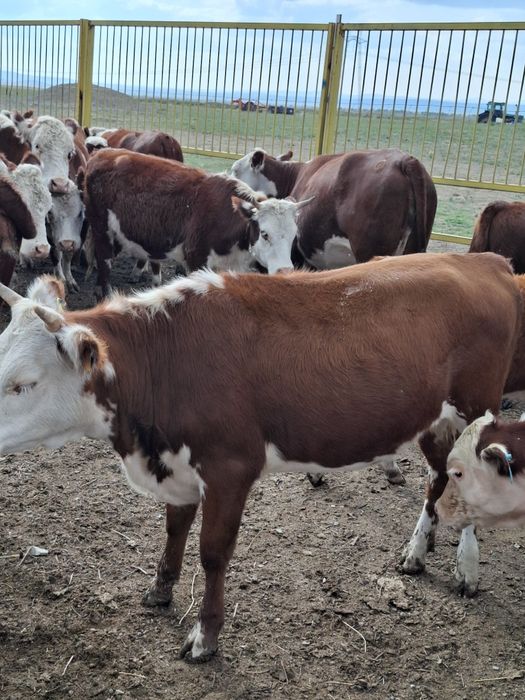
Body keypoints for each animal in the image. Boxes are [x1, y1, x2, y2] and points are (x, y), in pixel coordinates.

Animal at [0, 252, 521, 661]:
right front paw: (160, 590)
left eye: (25, 383)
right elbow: (174, 529)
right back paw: (417, 550)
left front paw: (204, 638)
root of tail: (483, 260)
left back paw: (467, 568)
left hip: (477, 406)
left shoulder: (230, 468)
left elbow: (213, 553)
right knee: (438, 475)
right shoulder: (178, 465)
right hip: (432, 417)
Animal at [83, 148, 311, 296]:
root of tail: (102, 154)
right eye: (264, 233)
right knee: (104, 260)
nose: (285, 272)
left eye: (294, 237)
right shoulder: (196, 258)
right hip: (101, 228)